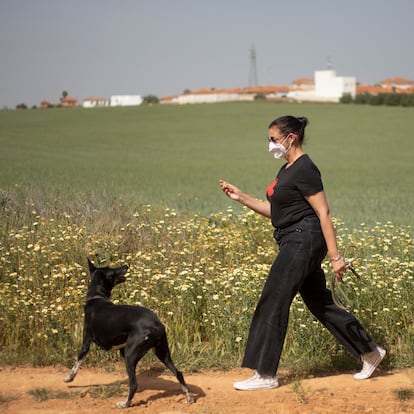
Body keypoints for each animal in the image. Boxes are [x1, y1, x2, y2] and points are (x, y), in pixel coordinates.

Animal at [64, 258, 194, 408]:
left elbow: (77, 361)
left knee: (134, 384)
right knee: (178, 373)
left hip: (131, 355)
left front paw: (69, 378)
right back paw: (188, 397)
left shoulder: (86, 341)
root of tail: (157, 325)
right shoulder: (121, 348)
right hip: (162, 352)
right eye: (112, 270)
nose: (126, 265)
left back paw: (125, 403)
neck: (97, 298)